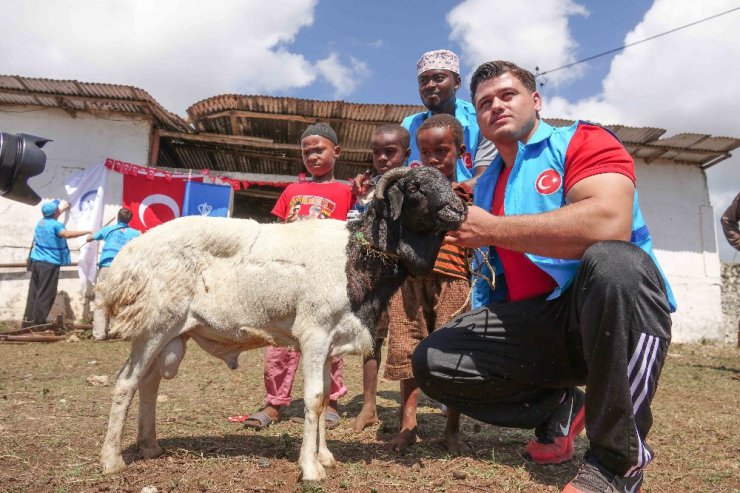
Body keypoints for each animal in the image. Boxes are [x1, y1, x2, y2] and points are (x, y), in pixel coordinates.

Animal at [99, 165, 468, 480]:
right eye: (415, 187)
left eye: (447, 181)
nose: (459, 209)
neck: (357, 256)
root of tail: (128, 258)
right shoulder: (315, 333)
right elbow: (315, 398)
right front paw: (311, 468)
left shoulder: (330, 340)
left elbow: (323, 400)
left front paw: (323, 457)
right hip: (155, 324)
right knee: (126, 382)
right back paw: (111, 460)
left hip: (171, 332)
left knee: (148, 383)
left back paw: (150, 447)